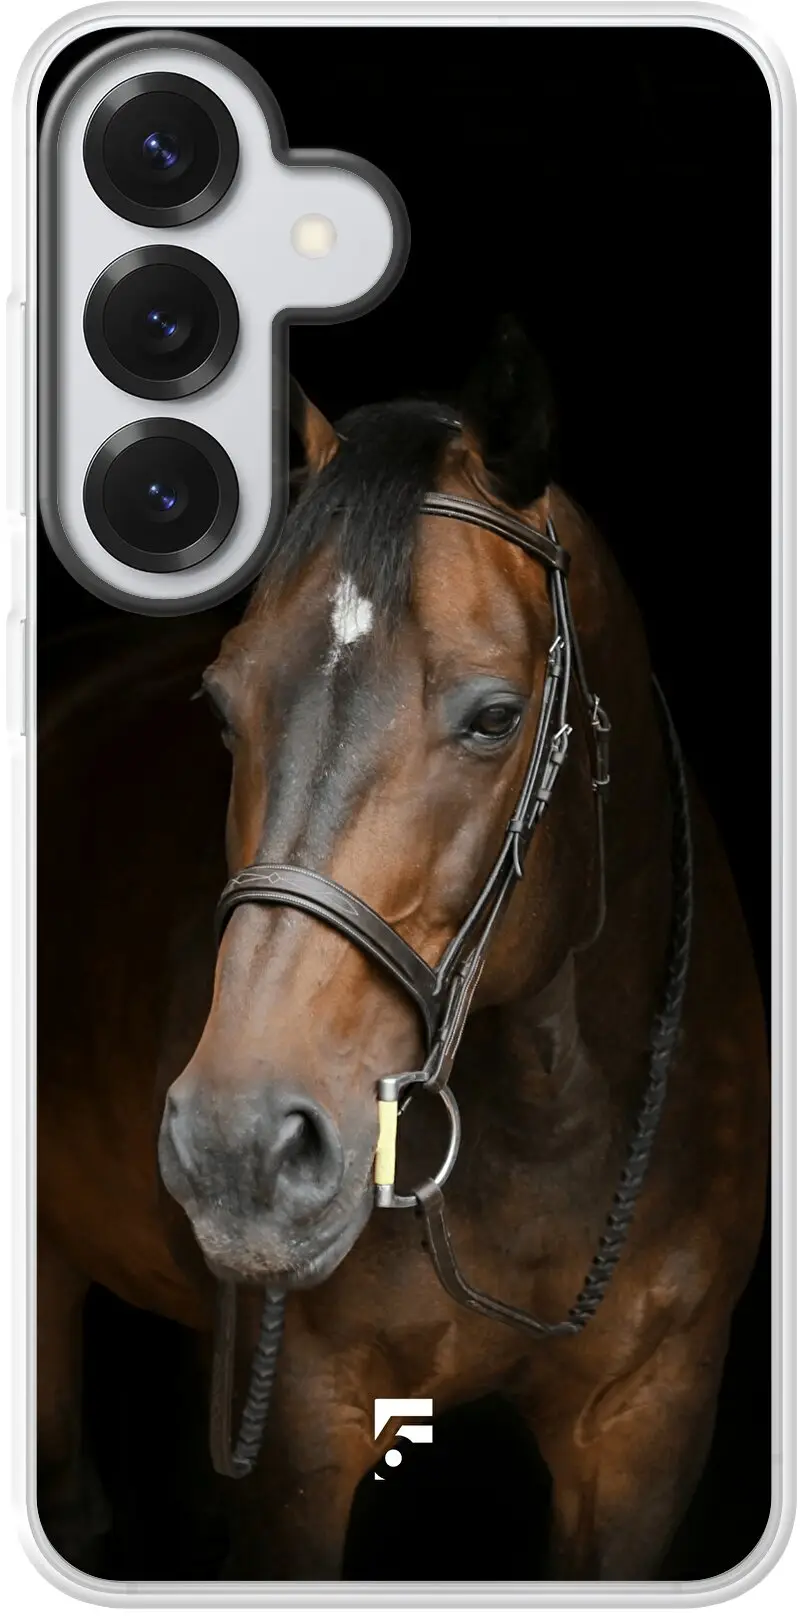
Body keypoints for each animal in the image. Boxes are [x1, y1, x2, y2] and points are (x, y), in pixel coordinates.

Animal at [37, 327, 768, 1580]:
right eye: (221, 706)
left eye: (494, 716)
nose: (238, 1145)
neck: (547, 1120)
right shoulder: (300, 1432)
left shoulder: (647, 1425)